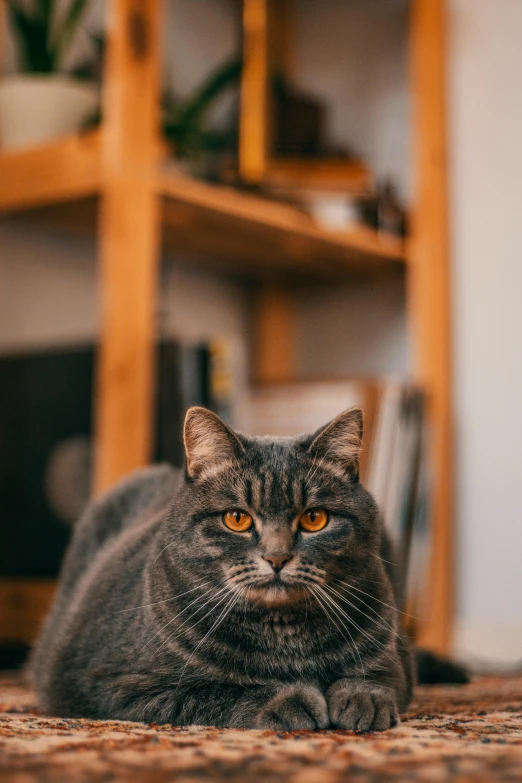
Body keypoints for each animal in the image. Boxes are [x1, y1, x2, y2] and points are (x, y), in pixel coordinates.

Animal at [32, 408, 414, 732]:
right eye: (237, 518)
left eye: (314, 518)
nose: (277, 557)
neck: (284, 640)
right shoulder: (118, 686)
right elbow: (217, 692)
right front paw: (289, 700)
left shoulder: (396, 665)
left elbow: (376, 680)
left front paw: (362, 700)